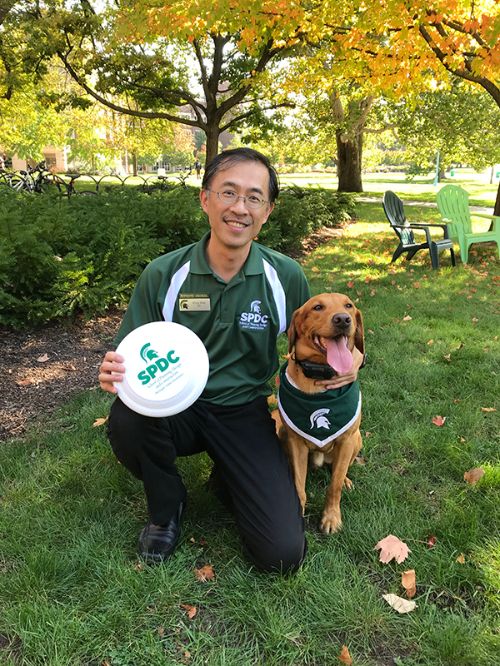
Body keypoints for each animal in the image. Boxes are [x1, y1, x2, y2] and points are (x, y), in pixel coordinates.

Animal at [278, 294, 364, 532]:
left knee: (339, 470)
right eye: (317, 307)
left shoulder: (346, 439)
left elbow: (334, 485)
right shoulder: (296, 442)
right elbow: (299, 485)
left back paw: (347, 480)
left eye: (349, 306)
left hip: (357, 438)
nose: (343, 319)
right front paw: (298, 512)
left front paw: (331, 517)